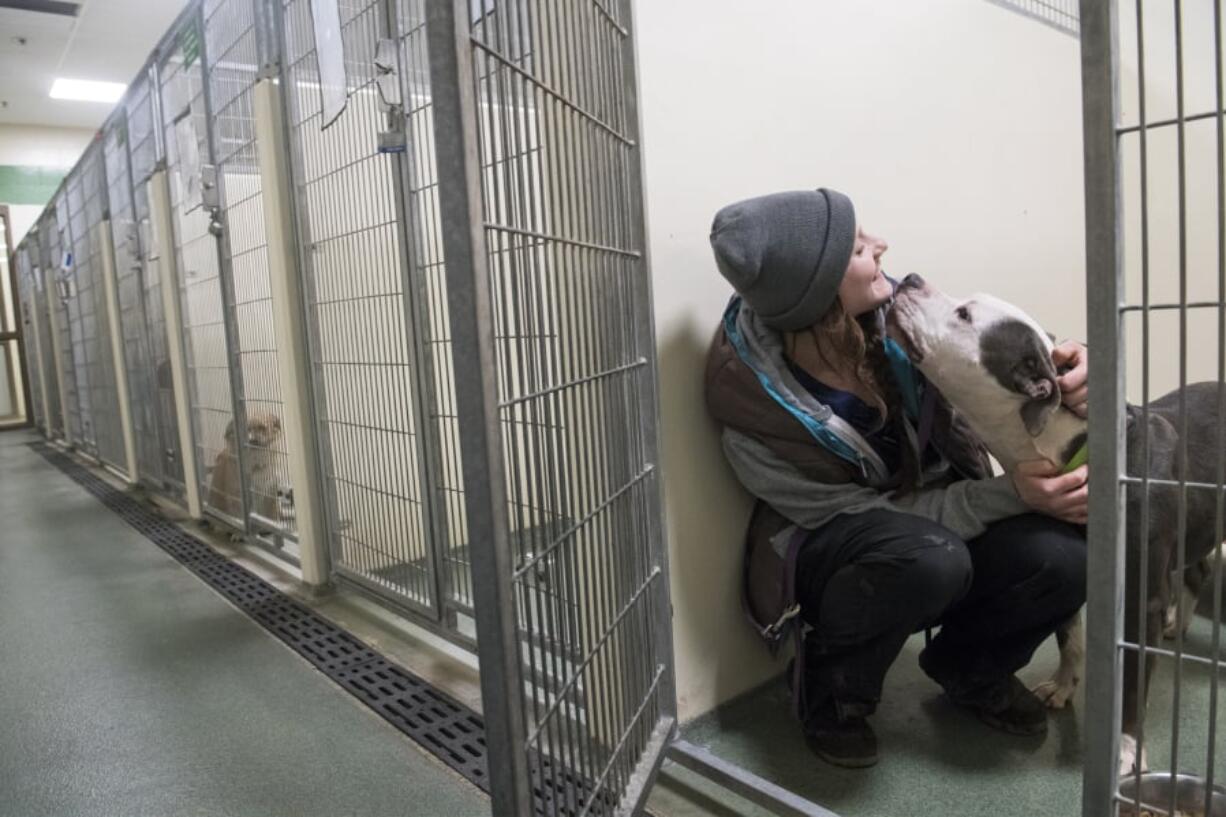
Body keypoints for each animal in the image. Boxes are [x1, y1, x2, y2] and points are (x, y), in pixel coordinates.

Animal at [887, 272, 1221, 770]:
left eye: (964, 314)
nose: (909, 278)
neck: (1073, 449)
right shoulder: (1082, 562)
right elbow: (1068, 634)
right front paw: (1065, 686)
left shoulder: (1140, 601)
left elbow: (1131, 681)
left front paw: (1126, 749)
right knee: (1197, 567)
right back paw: (1177, 624)